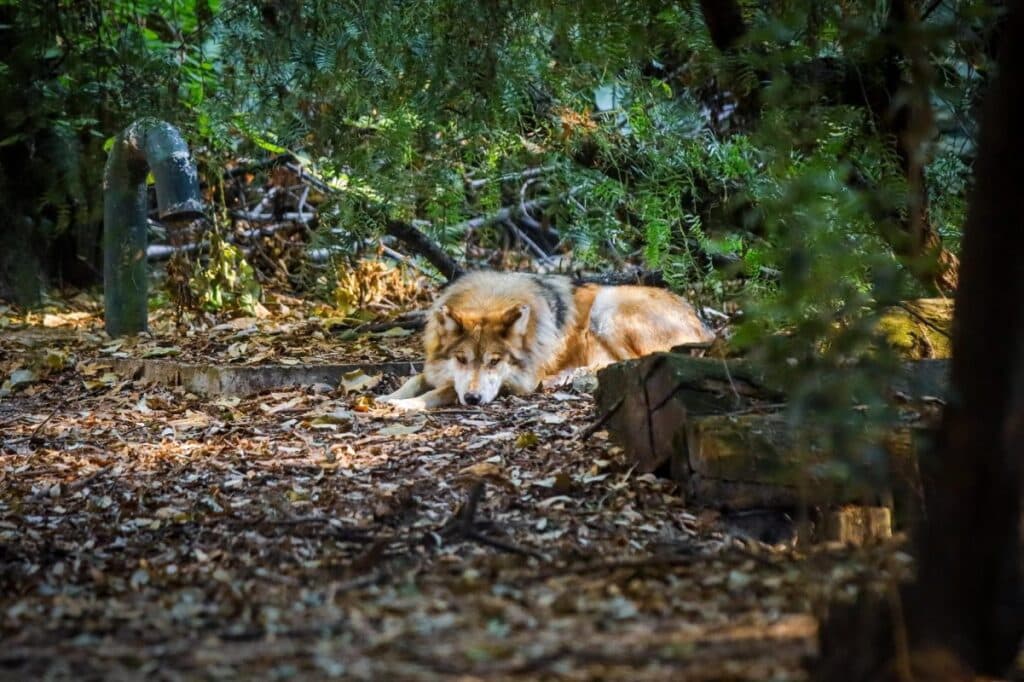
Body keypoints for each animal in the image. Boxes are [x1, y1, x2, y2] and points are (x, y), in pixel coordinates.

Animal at [381, 271, 714, 409]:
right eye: (461, 359)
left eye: (494, 362)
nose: (473, 400)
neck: (488, 300)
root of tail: (704, 326)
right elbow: (416, 379)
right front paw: (387, 397)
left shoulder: (520, 381)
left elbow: (443, 390)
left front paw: (407, 405)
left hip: (607, 308)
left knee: (631, 361)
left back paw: (565, 377)